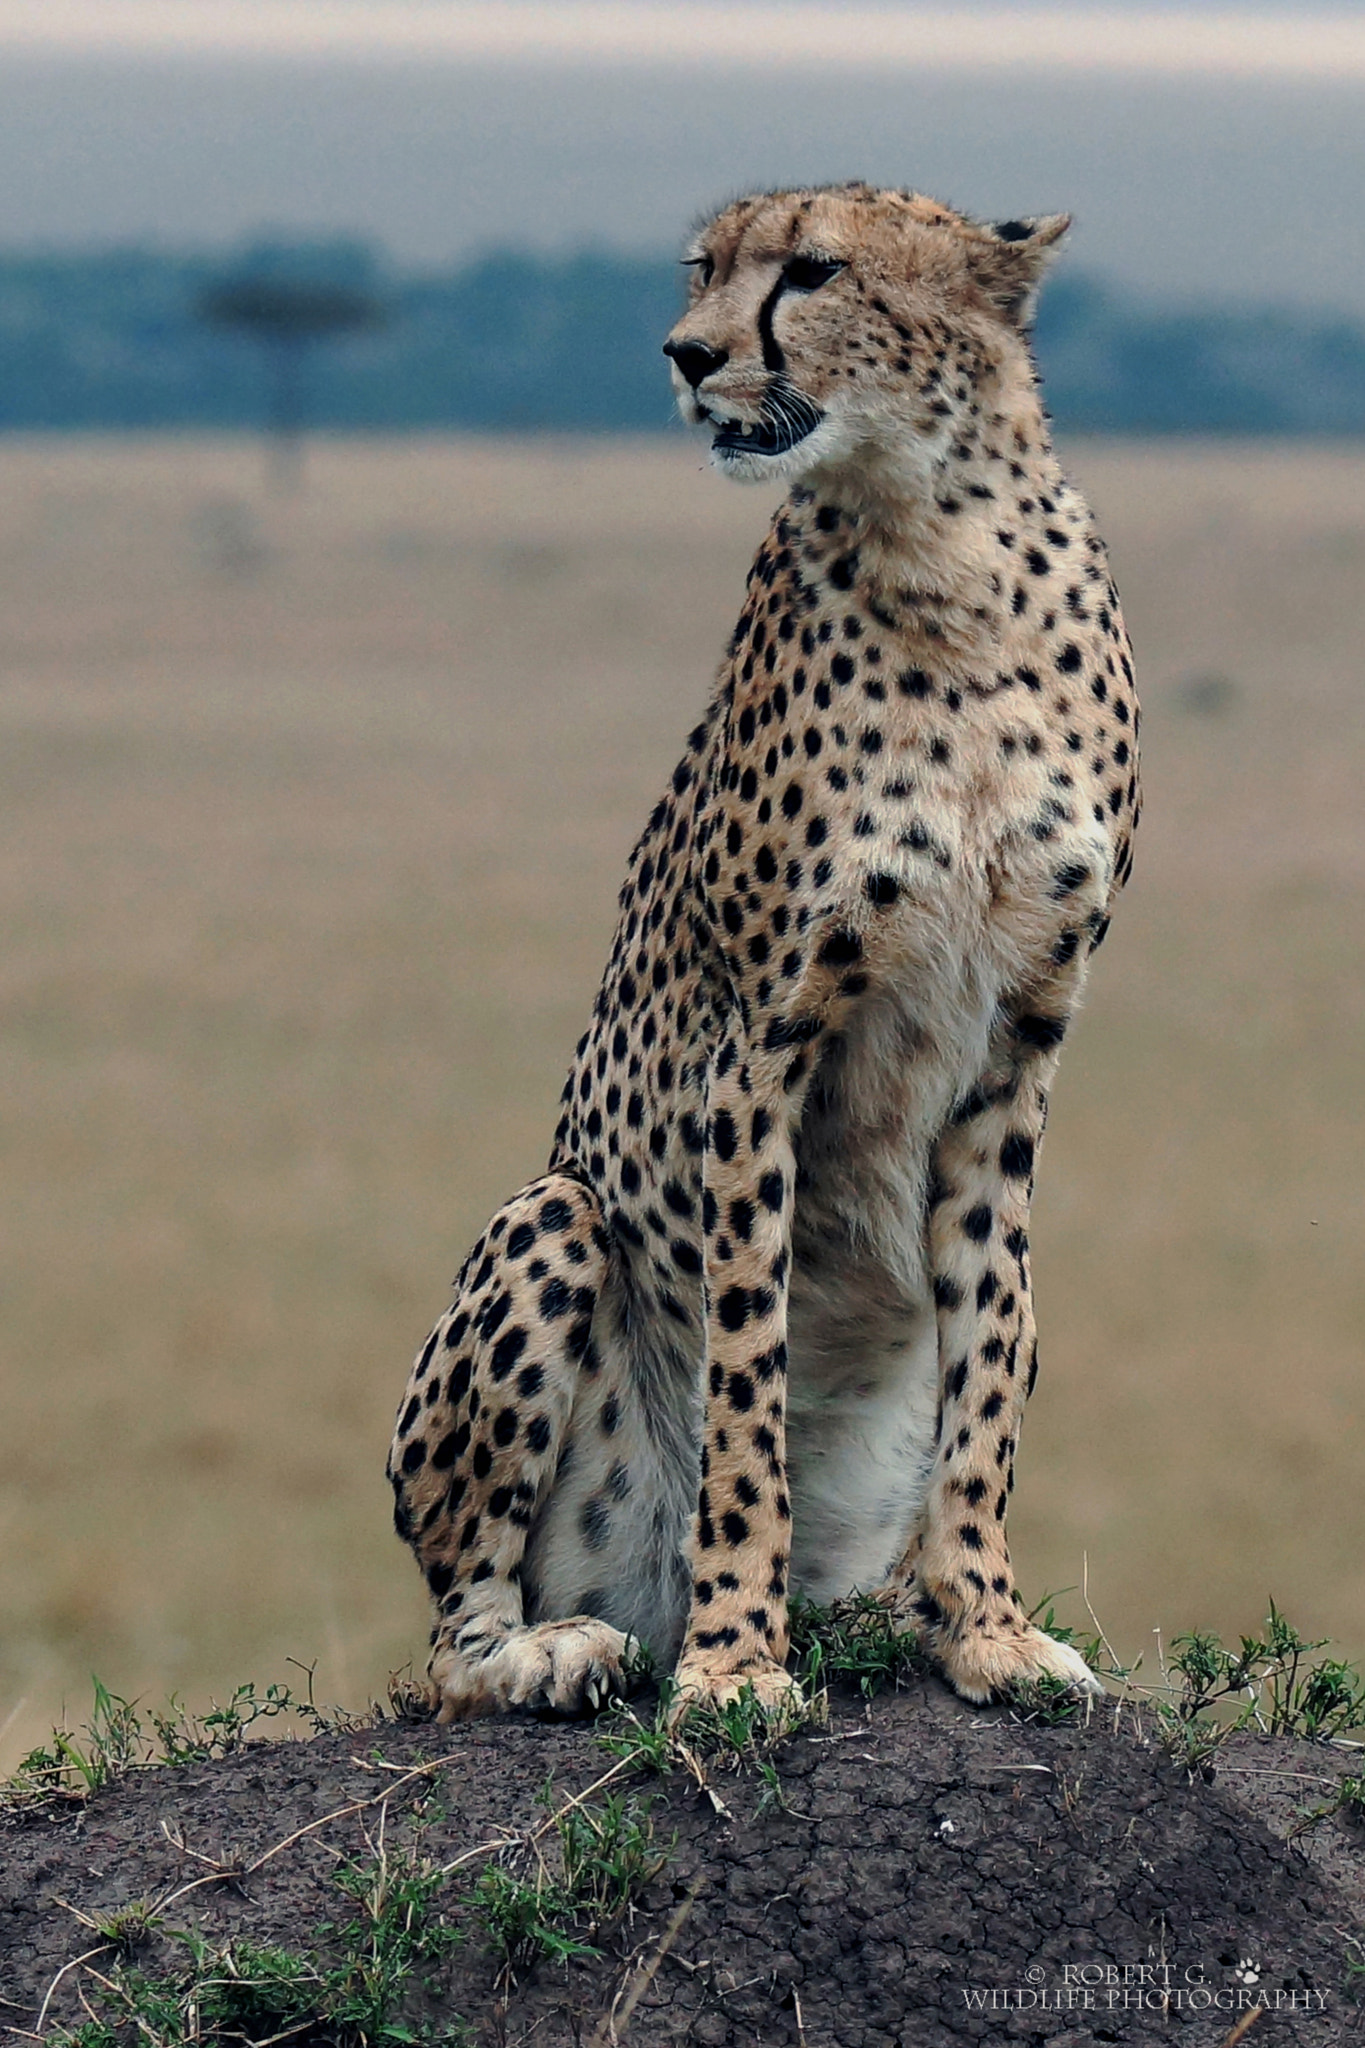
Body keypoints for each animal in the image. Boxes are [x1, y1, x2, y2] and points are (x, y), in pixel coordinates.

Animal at [388, 184, 1137, 1720]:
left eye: (813, 271)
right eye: (705, 270)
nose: (684, 354)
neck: (943, 551)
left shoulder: (1020, 1047)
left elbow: (989, 1353)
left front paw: (986, 1624)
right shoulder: (759, 1043)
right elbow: (744, 1374)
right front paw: (736, 1659)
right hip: (552, 1216)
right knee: (454, 1634)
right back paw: (563, 1648)